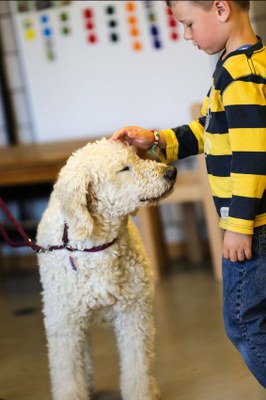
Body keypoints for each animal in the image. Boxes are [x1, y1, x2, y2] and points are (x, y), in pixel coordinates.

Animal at [36, 138, 176, 400]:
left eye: (138, 157)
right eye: (124, 168)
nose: (171, 172)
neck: (96, 246)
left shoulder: (134, 313)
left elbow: (137, 365)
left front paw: (141, 393)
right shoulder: (64, 323)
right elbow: (68, 372)